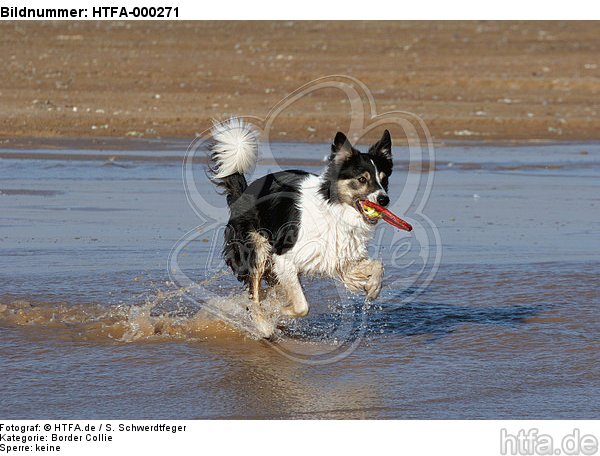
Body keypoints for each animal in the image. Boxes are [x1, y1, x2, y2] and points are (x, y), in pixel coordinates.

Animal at [210, 119, 394, 336]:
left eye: (384, 179)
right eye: (362, 179)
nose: (384, 200)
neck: (333, 208)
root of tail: (244, 191)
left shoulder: (340, 257)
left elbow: (377, 266)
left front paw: (373, 288)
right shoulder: (284, 258)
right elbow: (301, 306)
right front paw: (275, 311)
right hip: (257, 249)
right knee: (254, 293)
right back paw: (263, 325)